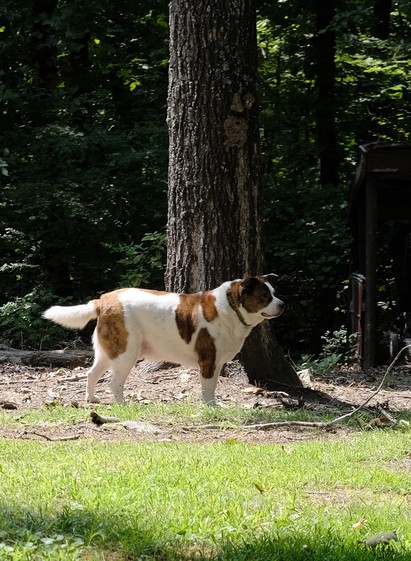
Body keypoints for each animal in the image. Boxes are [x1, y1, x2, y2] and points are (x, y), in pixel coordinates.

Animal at [43, 274, 284, 404]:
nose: (282, 304)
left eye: (273, 293)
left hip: (108, 352)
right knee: (114, 382)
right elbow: (207, 388)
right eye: (265, 296)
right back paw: (123, 404)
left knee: (91, 374)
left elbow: (213, 386)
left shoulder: (215, 364)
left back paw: (91, 399)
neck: (231, 307)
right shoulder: (208, 361)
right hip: (126, 353)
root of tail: (103, 300)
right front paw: (210, 407)